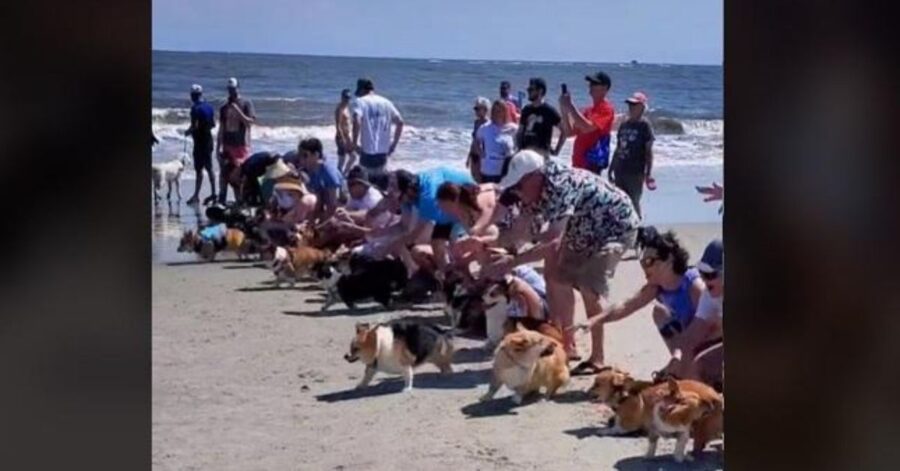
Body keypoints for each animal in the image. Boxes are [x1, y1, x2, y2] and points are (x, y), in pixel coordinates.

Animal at [588, 368, 728, 460]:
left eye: (597, 384)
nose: (588, 391)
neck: (623, 395)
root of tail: (717, 397)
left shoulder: (626, 426)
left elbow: (613, 429)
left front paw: (603, 430)